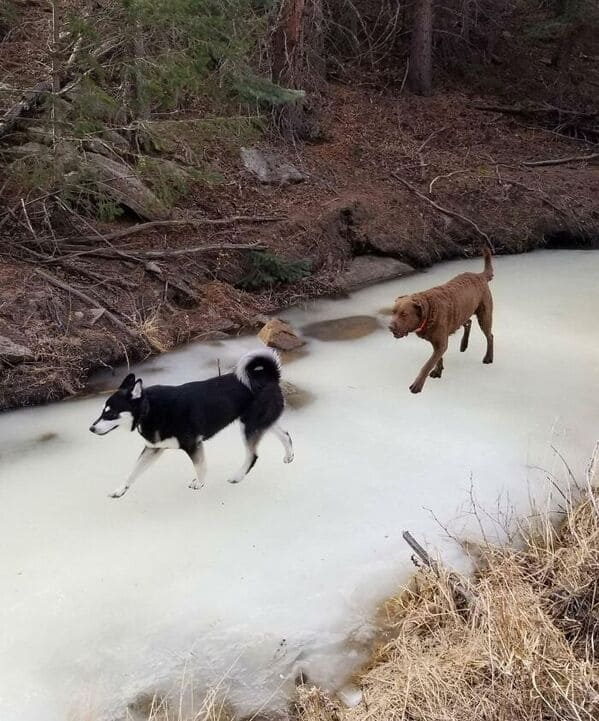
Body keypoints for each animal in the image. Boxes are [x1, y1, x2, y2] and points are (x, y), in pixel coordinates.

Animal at [89, 348, 292, 496]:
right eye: (102, 410)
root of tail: (270, 376)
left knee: (253, 456)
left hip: (249, 426)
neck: (149, 409)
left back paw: (237, 476)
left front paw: (200, 484)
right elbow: (133, 471)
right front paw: (120, 490)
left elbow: (200, 467)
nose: (91, 428)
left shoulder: (193, 444)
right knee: (286, 435)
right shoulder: (153, 448)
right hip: (259, 422)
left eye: (111, 413)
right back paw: (289, 456)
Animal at [392, 248, 494, 394]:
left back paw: (488, 358)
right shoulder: (438, 343)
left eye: (404, 314)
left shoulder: (440, 343)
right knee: (468, 322)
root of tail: (480, 275)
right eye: (393, 312)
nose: (390, 326)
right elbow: (437, 359)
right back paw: (463, 345)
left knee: (490, 336)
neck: (429, 310)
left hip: (484, 315)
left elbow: (427, 364)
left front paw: (417, 385)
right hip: (461, 312)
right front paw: (438, 371)